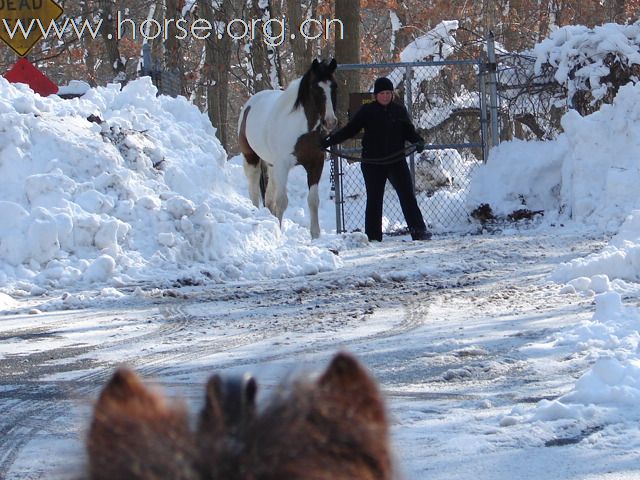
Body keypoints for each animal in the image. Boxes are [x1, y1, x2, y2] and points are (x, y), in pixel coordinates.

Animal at [239, 59, 338, 239]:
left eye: (334, 86)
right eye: (315, 87)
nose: (330, 122)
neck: (302, 129)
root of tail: (249, 105)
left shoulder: (315, 164)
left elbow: (313, 200)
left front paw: (315, 235)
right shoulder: (283, 165)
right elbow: (282, 201)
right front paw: (279, 231)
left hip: (271, 166)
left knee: (268, 198)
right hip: (252, 159)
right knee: (254, 192)